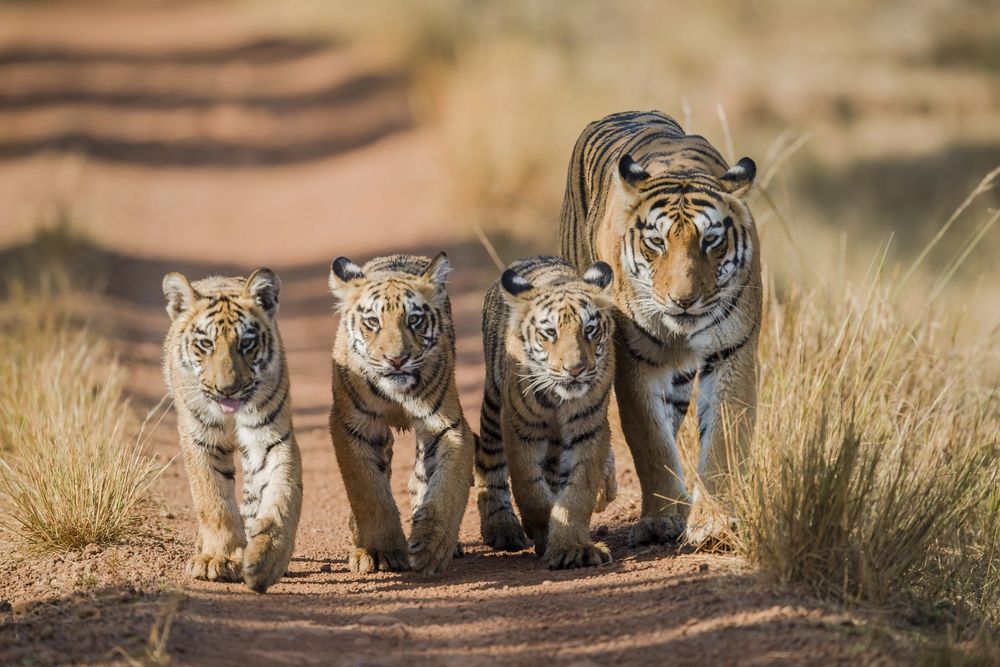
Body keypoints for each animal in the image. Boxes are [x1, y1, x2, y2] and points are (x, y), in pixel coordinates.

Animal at [158, 268, 300, 592]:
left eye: (246, 343)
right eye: (206, 344)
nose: (227, 390)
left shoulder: (269, 438)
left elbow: (282, 495)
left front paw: (269, 558)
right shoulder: (201, 440)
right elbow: (213, 500)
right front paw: (218, 559)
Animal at [324, 253, 472, 576]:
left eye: (414, 320)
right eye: (373, 322)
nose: (397, 359)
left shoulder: (446, 427)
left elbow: (445, 487)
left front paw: (431, 547)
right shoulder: (354, 427)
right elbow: (368, 491)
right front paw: (379, 551)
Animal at [476, 256, 616, 568]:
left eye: (589, 330)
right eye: (550, 332)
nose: (575, 369)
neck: (558, 400)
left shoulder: (588, 430)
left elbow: (577, 492)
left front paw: (571, 547)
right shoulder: (519, 428)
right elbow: (530, 490)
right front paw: (542, 532)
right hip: (492, 406)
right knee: (489, 464)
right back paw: (501, 528)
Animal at [560, 111, 760, 548]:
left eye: (711, 240)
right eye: (656, 242)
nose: (683, 300)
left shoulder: (732, 351)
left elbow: (723, 437)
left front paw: (712, 521)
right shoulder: (636, 359)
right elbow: (649, 440)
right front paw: (663, 519)